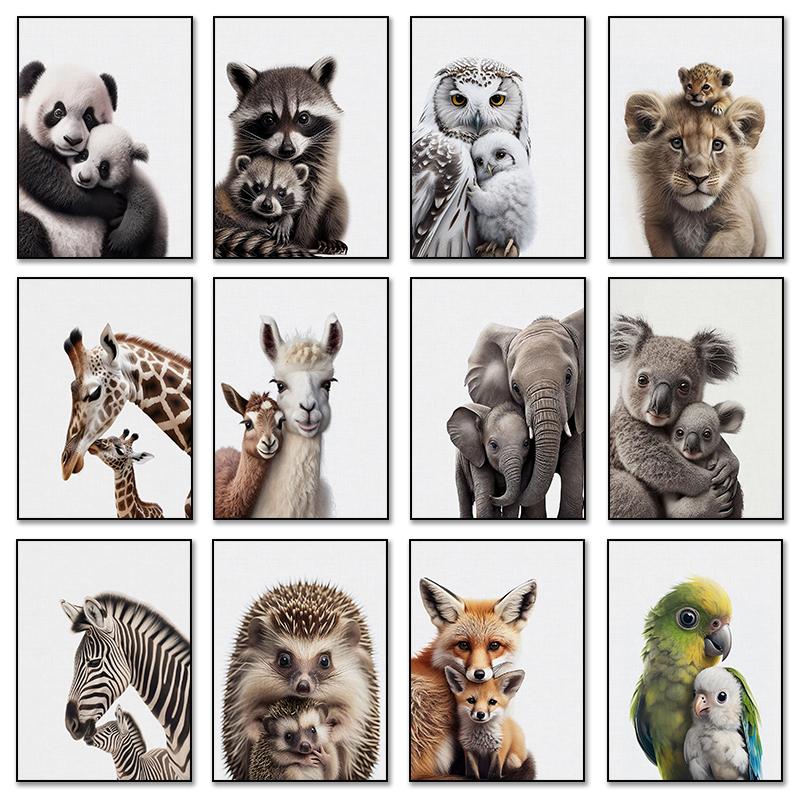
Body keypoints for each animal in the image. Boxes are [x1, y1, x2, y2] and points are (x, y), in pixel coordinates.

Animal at [624, 93, 766, 258]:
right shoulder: (656, 223)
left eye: (717, 145)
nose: (699, 178)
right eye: (676, 143)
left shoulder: (737, 225)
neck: (692, 217)